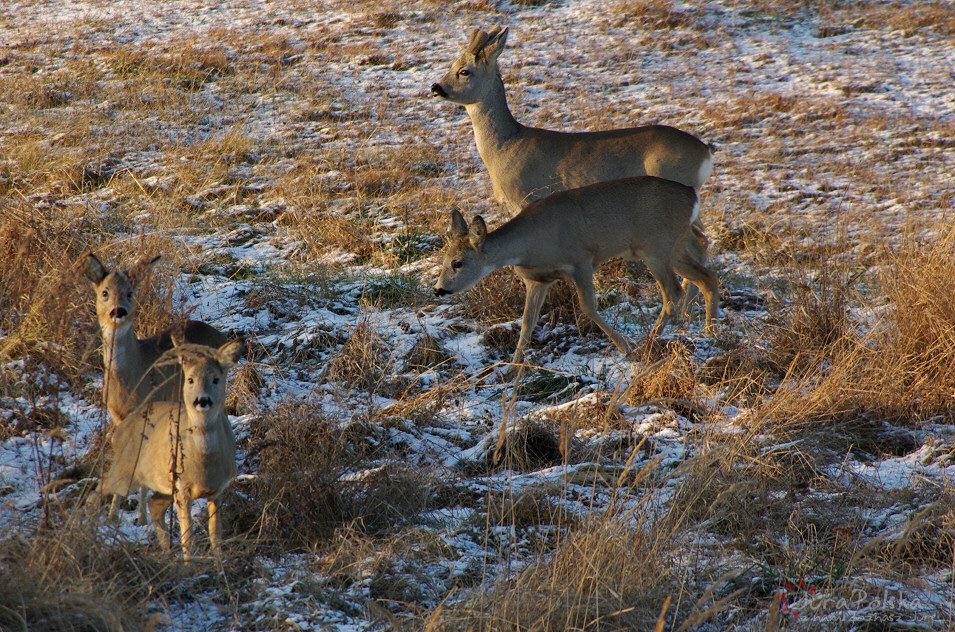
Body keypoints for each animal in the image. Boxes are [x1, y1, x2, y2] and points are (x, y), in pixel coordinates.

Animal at [82, 252, 232, 524]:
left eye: (130, 292)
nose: (118, 311)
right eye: (105, 292)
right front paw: (113, 515)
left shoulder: (147, 407)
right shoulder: (117, 416)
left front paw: (140, 517)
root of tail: (220, 334)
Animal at [97, 338, 245, 560]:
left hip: (161, 483)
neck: (205, 462)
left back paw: (167, 552)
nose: (202, 400)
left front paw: (219, 561)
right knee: (100, 487)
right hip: (126, 470)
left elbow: (215, 534)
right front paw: (190, 563)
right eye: (190, 379)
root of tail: (122, 427)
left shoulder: (218, 490)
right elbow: (188, 537)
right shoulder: (182, 487)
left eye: (215, 379)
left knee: (154, 505)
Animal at [434, 26, 716, 306]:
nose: (436, 87)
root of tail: (705, 151)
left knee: (696, 244)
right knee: (702, 243)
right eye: (453, 63)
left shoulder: (528, 198)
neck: (505, 146)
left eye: (464, 71)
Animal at [434, 175, 716, 368]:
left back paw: (646, 343)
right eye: (444, 259)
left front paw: (623, 346)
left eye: (458, 262)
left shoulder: (581, 261)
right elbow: (527, 322)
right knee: (707, 276)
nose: (438, 290)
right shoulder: (537, 280)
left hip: (656, 246)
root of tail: (693, 195)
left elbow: (587, 307)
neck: (530, 246)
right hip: (671, 247)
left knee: (673, 292)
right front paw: (513, 368)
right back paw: (710, 331)